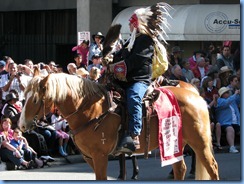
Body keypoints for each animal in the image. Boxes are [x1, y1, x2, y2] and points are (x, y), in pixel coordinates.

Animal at [19, 68, 219, 180]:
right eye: (24, 96)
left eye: (35, 99)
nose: (21, 125)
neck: (89, 110)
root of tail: (196, 95)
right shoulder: (89, 157)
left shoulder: (100, 156)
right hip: (176, 144)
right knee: (180, 169)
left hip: (200, 143)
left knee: (212, 167)